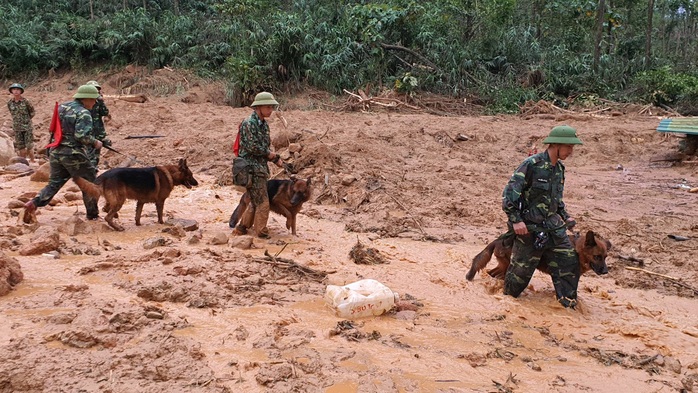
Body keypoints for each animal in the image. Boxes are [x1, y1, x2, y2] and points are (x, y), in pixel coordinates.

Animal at [468, 230, 608, 282]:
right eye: (597, 256)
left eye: (605, 257)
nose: (606, 271)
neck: (578, 251)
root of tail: (497, 240)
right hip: (508, 266)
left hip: (504, 266)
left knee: (492, 273)